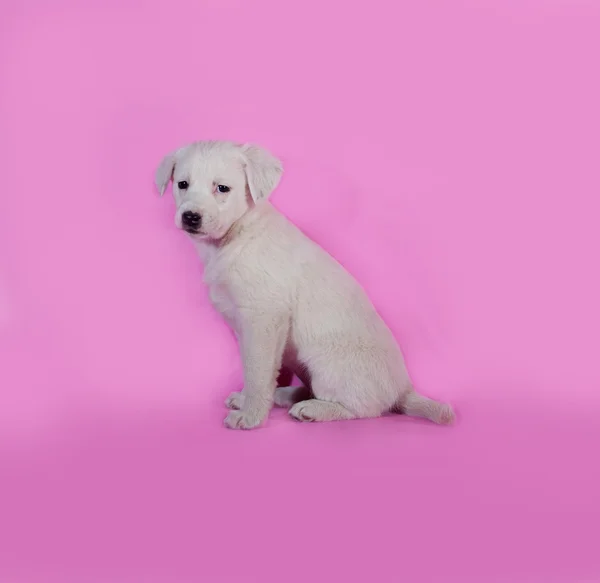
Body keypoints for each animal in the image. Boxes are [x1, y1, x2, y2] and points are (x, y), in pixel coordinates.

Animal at [155, 140, 454, 428]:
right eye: (182, 184)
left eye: (222, 188)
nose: (190, 217)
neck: (235, 236)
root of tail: (404, 390)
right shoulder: (245, 324)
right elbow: (255, 368)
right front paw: (246, 399)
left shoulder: (263, 318)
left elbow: (257, 370)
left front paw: (251, 415)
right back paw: (285, 396)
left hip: (325, 364)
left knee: (364, 409)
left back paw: (313, 410)